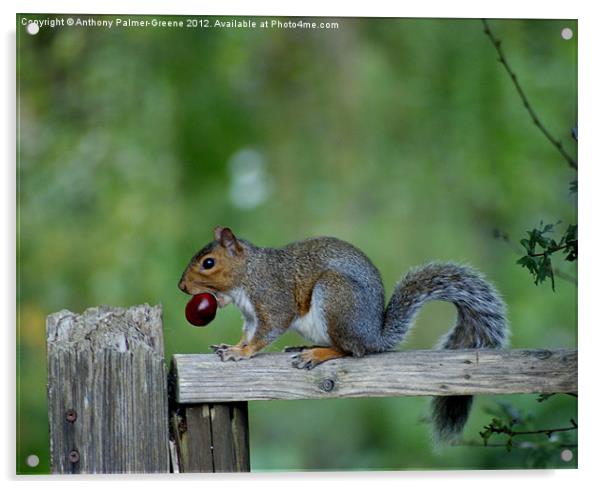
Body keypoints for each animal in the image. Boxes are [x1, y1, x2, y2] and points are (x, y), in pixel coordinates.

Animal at [178, 227, 506, 440]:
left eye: (209, 263)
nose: (182, 286)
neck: (248, 272)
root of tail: (374, 335)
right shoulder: (250, 315)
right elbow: (248, 332)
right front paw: (232, 346)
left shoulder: (272, 299)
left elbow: (267, 331)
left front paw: (242, 353)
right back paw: (303, 348)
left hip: (335, 297)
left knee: (353, 350)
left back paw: (317, 353)